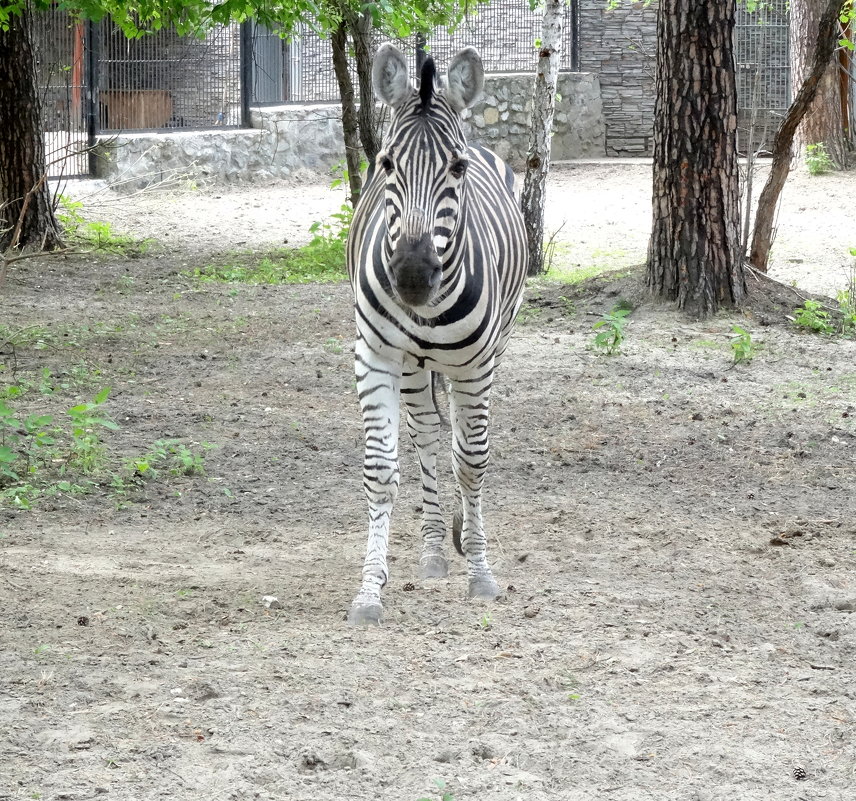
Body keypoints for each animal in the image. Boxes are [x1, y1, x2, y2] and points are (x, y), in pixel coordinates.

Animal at [348, 45, 528, 624]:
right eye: (386, 164)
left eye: (457, 167)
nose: (411, 276)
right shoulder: (375, 357)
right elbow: (382, 470)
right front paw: (369, 591)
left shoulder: (475, 366)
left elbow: (471, 463)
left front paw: (481, 573)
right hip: (412, 368)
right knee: (428, 435)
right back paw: (431, 549)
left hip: (492, 350)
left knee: (458, 445)